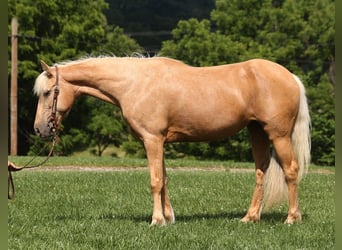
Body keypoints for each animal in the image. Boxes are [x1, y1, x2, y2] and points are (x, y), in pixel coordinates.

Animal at [34, 56, 310, 225]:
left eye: (47, 93)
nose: (39, 129)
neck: (135, 83)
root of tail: (291, 76)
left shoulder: (152, 140)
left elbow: (155, 181)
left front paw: (156, 220)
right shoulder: (159, 142)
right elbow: (164, 179)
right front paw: (168, 218)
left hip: (278, 135)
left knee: (291, 170)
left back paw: (291, 218)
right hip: (257, 132)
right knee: (261, 171)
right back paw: (250, 218)